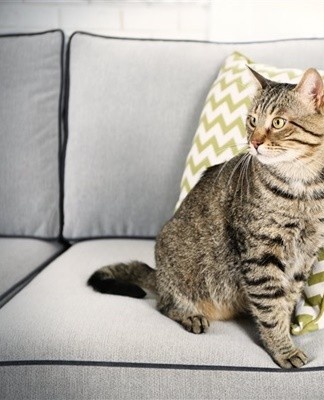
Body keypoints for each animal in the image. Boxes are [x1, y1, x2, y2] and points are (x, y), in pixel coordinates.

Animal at [87, 66, 324, 368]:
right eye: (252, 120)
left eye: (279, 122)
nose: (254, 142)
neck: (303, 190)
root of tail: (159, 275)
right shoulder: (261, 254)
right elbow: (271, 307)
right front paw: (283, 349)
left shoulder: (304, 257)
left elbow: (285, 301)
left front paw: (286, 335)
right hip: (175, 262)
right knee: (164, 304)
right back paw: (190, 314)